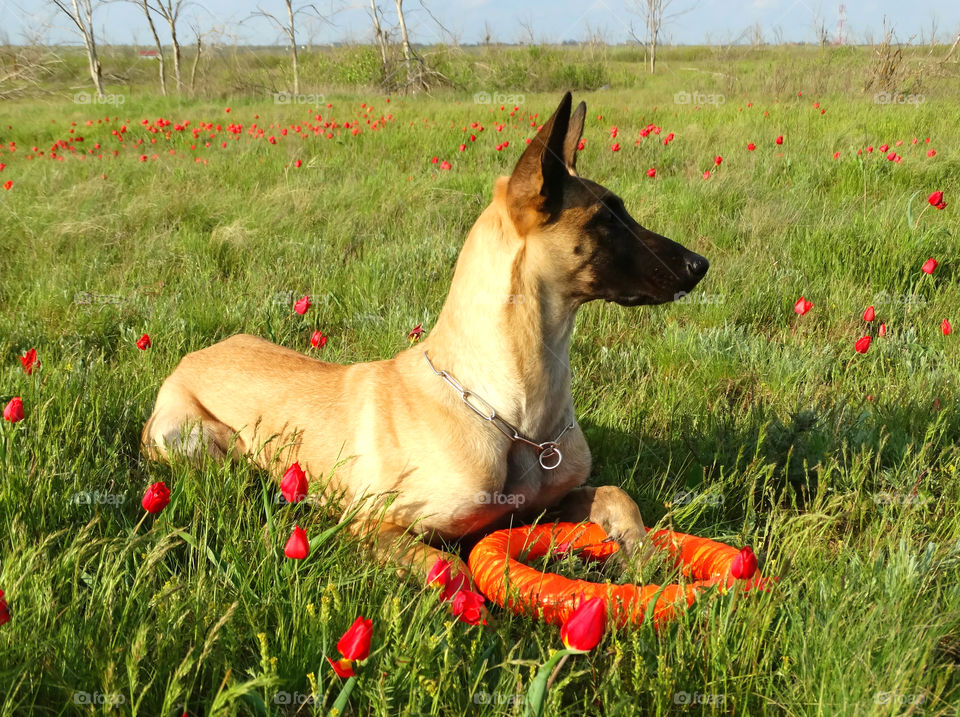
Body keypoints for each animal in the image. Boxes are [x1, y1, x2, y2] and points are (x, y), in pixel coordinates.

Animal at [144, 91, 712, 580]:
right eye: (605, 218)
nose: (700, 264)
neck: (509, 413)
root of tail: (192, 357)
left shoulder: (553, 501)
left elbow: (617, 494)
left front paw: (643, 553)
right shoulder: (375, 523)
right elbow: (451, 568)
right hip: (199, 442)